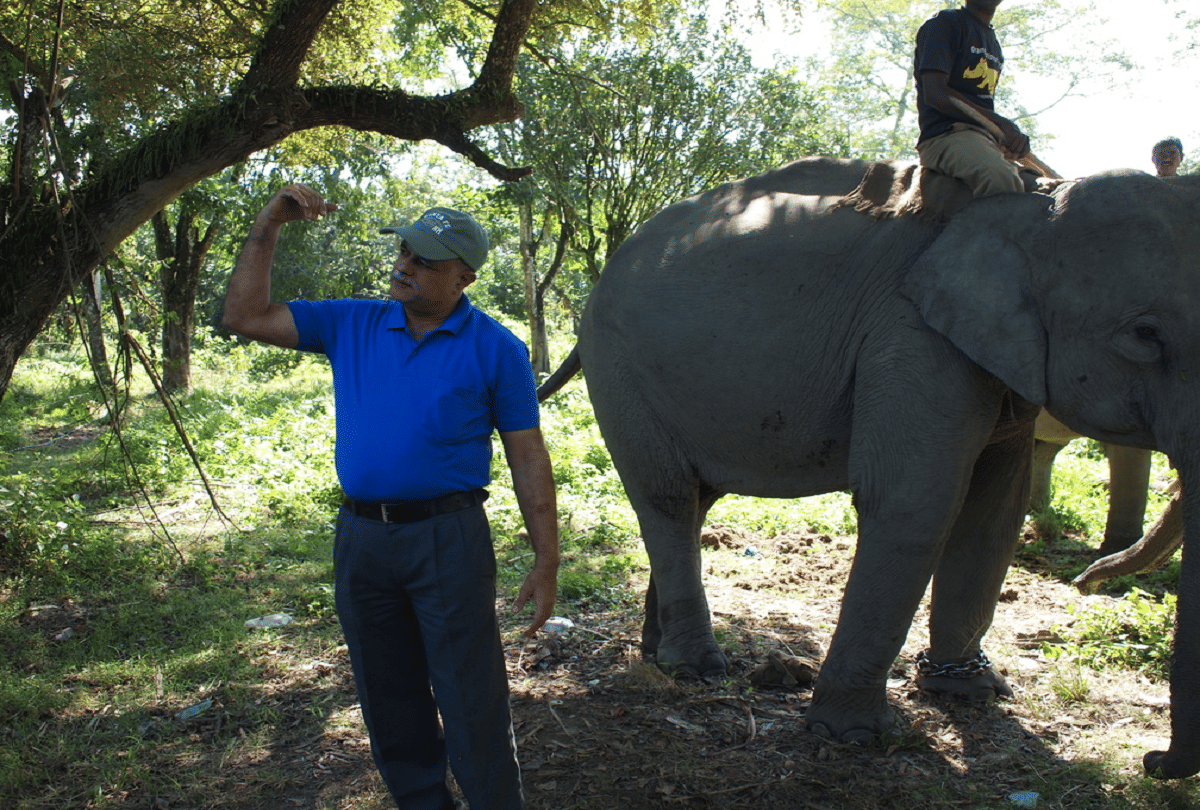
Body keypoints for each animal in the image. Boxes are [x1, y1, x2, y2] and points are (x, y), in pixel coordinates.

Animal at [544, 158, 1200, 777]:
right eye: (1144, 334)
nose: (1153, 762)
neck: (1034, 200)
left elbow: (993, 511)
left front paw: (971, 692)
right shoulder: (914, 332)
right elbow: (913, 501)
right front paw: (852, 736)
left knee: (694, 500)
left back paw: (658, 652)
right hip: (618, 367)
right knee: (669, 496)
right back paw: (695, 670)